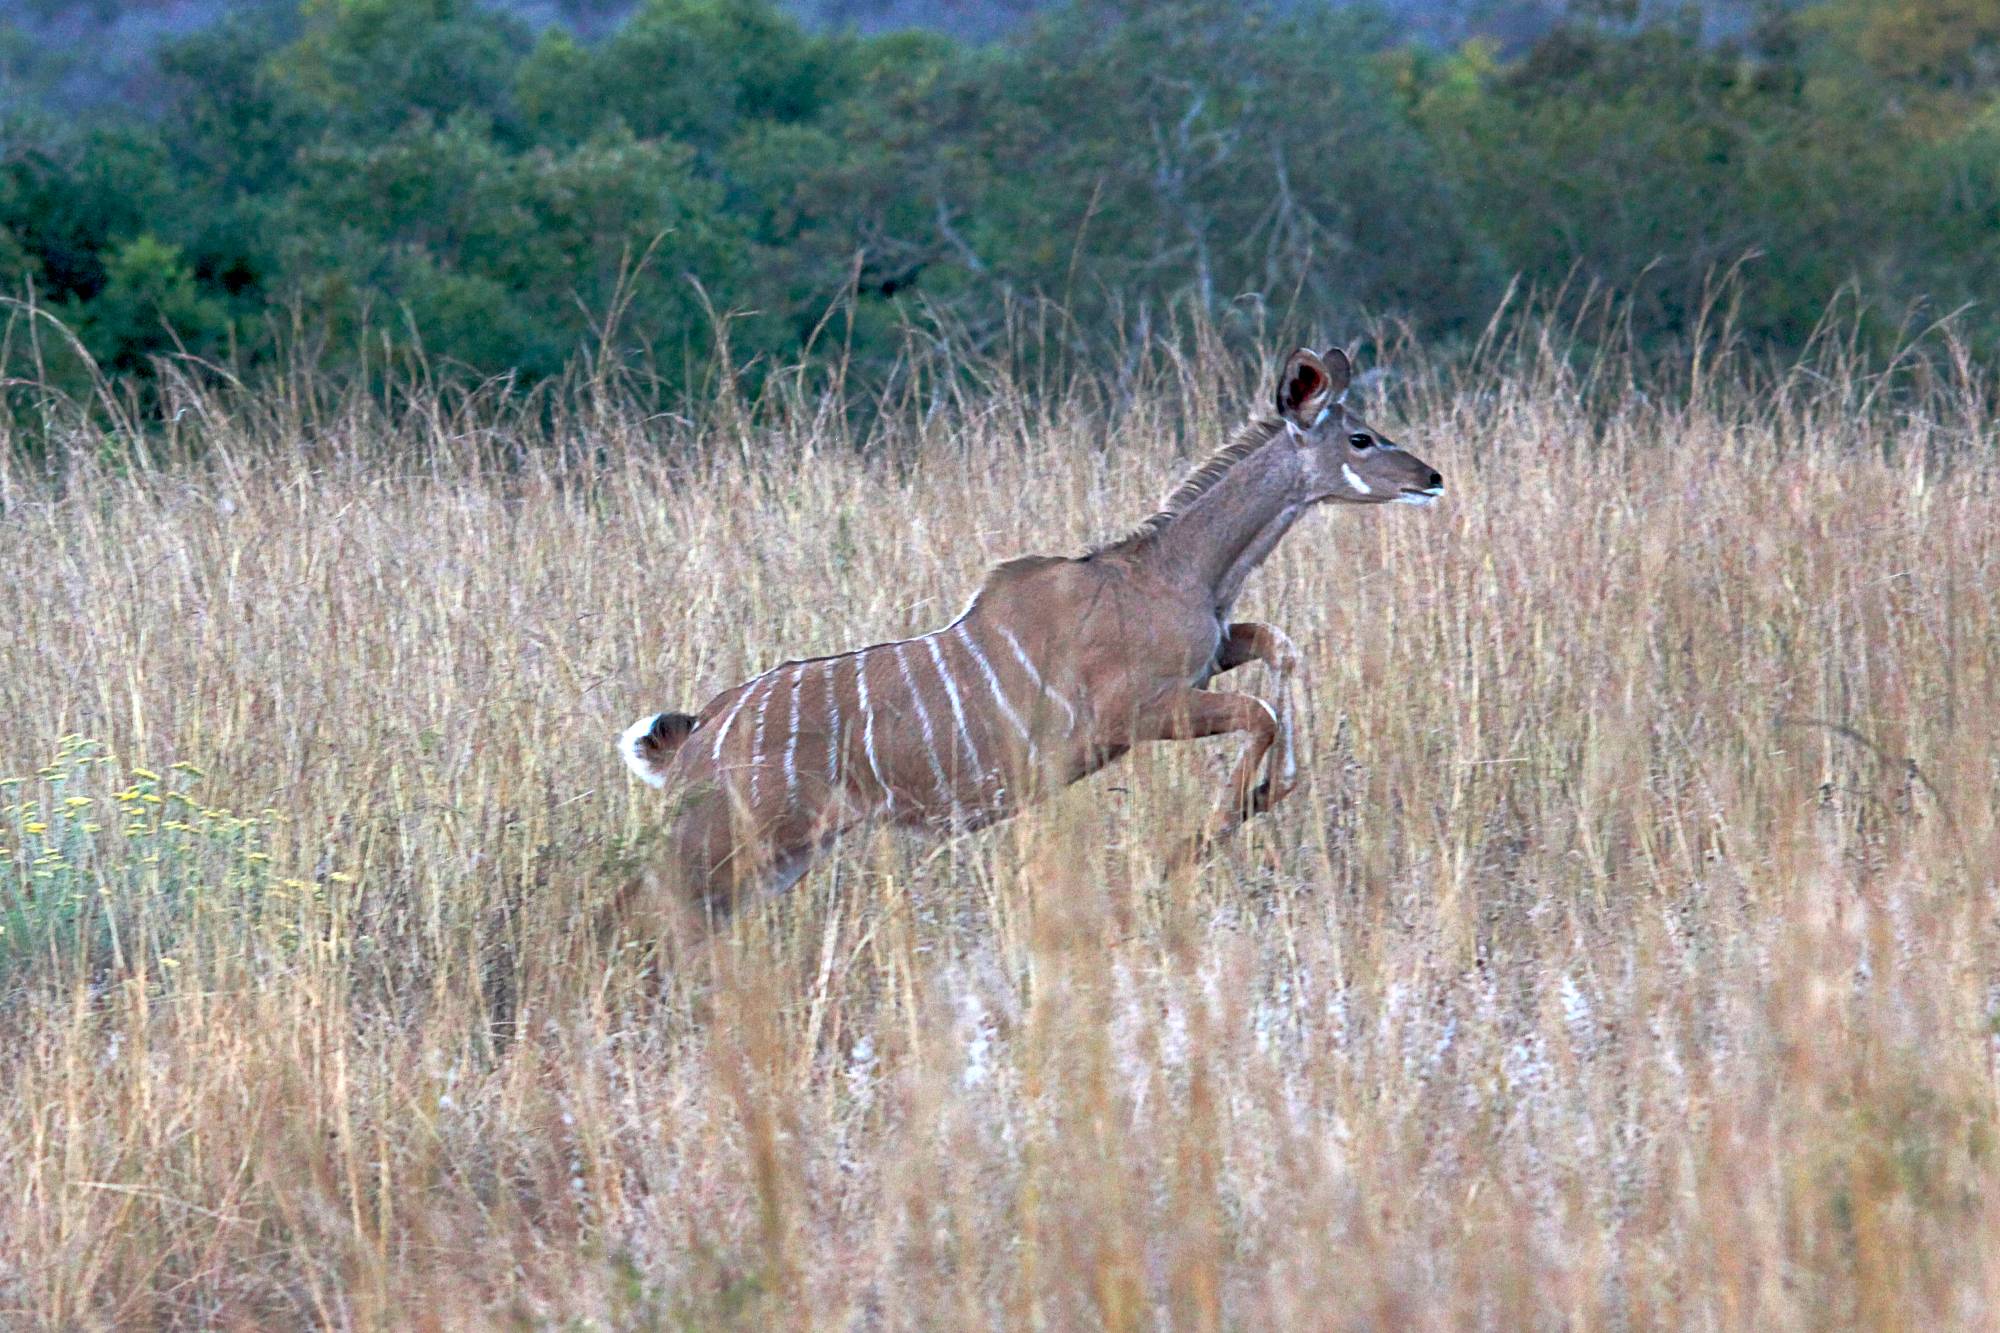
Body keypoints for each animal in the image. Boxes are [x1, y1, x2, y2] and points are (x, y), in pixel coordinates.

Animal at [619, 347, 1442, 922]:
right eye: (1361, 437)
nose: (1430, 477)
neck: (1171, 568)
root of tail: (695, 735)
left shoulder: (1209, 663)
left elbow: (1279, 646)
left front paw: (1270, 790)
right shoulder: (1138, 714)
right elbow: (1262, 712)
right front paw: (1202, 837)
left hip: (781, 854)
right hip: (736, 839)